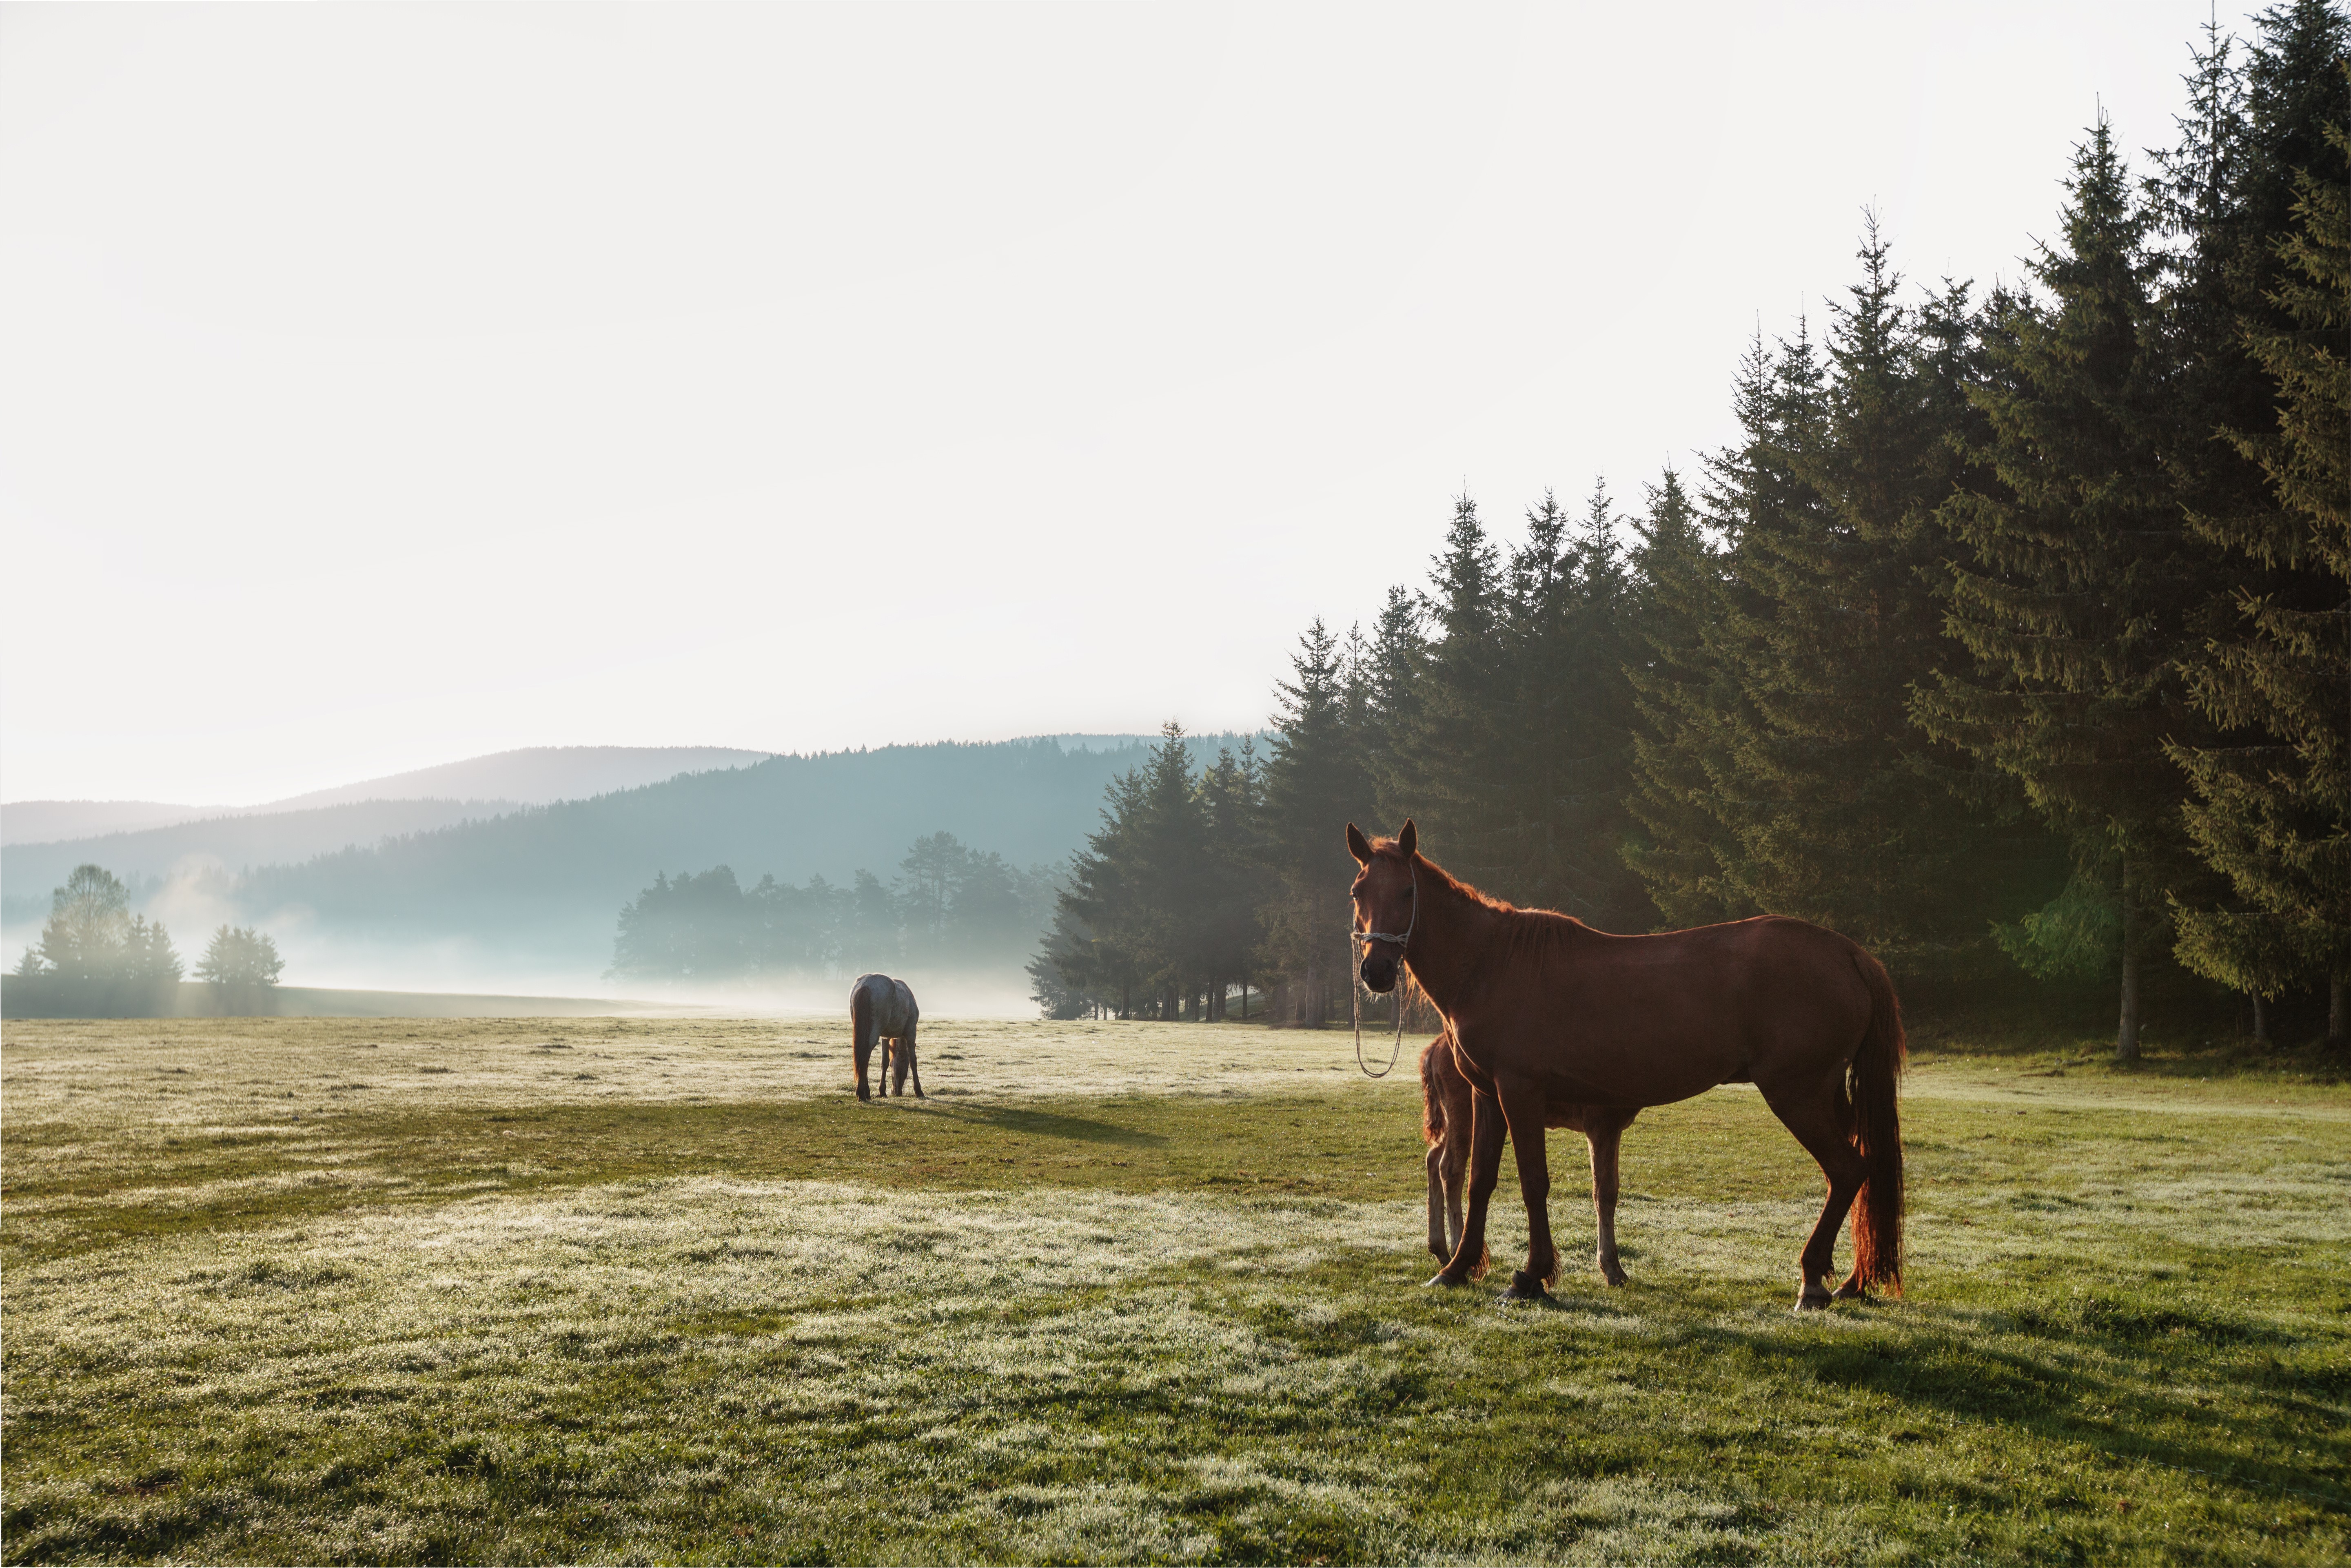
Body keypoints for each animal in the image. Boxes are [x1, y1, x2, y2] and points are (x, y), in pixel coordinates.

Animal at [849, 972, 923, 1102]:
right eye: (902, 1063)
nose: (896, 1092)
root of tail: (865, 986)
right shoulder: (911, 1032)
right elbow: (913, 1060)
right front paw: (918, 1090)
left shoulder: (885, 1037)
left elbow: (885, 1062)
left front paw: (882, 1091)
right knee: (865, 1055)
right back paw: (862, 1093)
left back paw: (866, 1093)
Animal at [1419, 1028, 1640, 1286]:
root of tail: (1434, 1049)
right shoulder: (1601, 1123)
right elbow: (1604, 1192)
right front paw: (1613, 1269)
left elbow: (1611, 1189)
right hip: (1462, 1109)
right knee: (1450, 1168)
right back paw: (1459, 1253)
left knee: (1433, 1158)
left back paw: (1440, 1249)